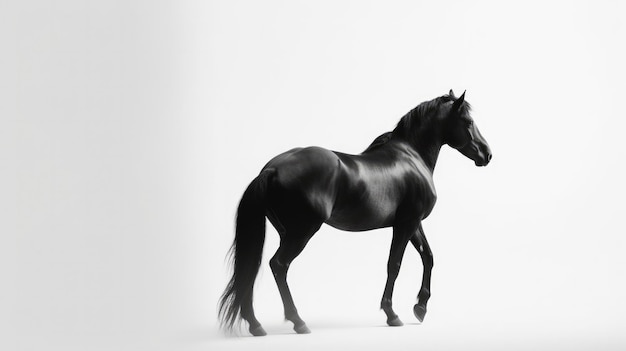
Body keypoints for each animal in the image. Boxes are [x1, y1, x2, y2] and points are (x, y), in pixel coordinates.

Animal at [217, 89, 490, 336]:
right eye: (468, 122)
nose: (487, 154)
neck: (411, 157)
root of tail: (271, 169)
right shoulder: (406, 224)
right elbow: (394, 264)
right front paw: (392, 314)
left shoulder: (413, 224)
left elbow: (428, 257)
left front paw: (420, 308)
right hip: (301, 233)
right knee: (279, 264)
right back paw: (298, 322)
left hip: (284, 233)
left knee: (253, 269)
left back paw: (256, 324)